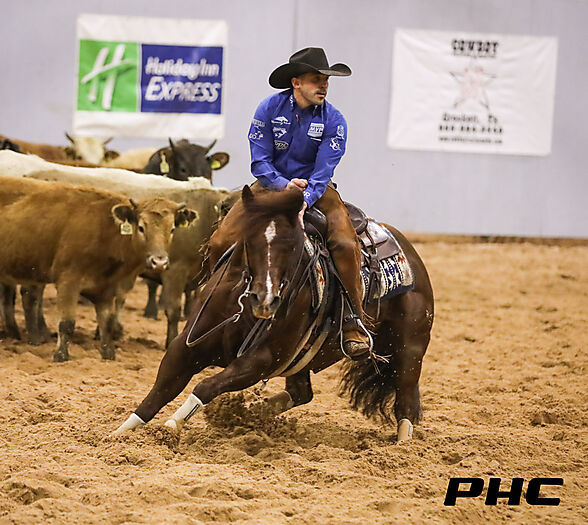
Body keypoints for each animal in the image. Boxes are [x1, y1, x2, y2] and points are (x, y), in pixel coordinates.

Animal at [0, 176, 196, 361]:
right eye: (141, 227)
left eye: (172, 229)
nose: (159, 262)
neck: (106, 232)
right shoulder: (68, 280)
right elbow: (66, 323)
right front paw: (61, 355)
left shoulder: (106, 288)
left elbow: (106, 323)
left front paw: (108, 354)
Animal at [114, 185, 434, 441]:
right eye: (248, 238)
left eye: (292, 243)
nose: (264, 299)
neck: (238, 304)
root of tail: (410, 253)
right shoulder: (185, 346)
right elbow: (159, 391)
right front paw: (119, 434)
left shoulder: (260, 361)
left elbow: (205, 386)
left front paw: (172, 425)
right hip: (302, 358)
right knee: (302, 392)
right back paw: (256, 412)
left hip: (409, 349)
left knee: (406, 402)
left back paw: (402, 448)